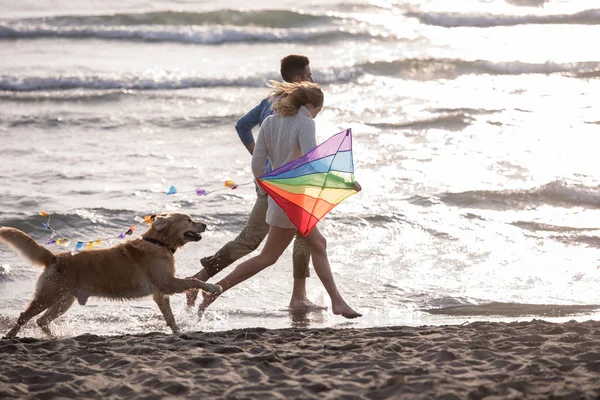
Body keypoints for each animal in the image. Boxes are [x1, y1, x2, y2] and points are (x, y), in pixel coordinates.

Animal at [0, 212, 221, 338]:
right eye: (189, 220)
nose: (205, 225)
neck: (159, 243)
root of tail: (55, 257)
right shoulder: (168, 283)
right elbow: (194, 280)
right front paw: (213, 287)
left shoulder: (161, 294)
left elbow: (170, 317)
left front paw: (178, 332)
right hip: (48, 296)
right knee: (24, 316)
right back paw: (10, 335)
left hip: (64, 301)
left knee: (41, 321)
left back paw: (54, 337)